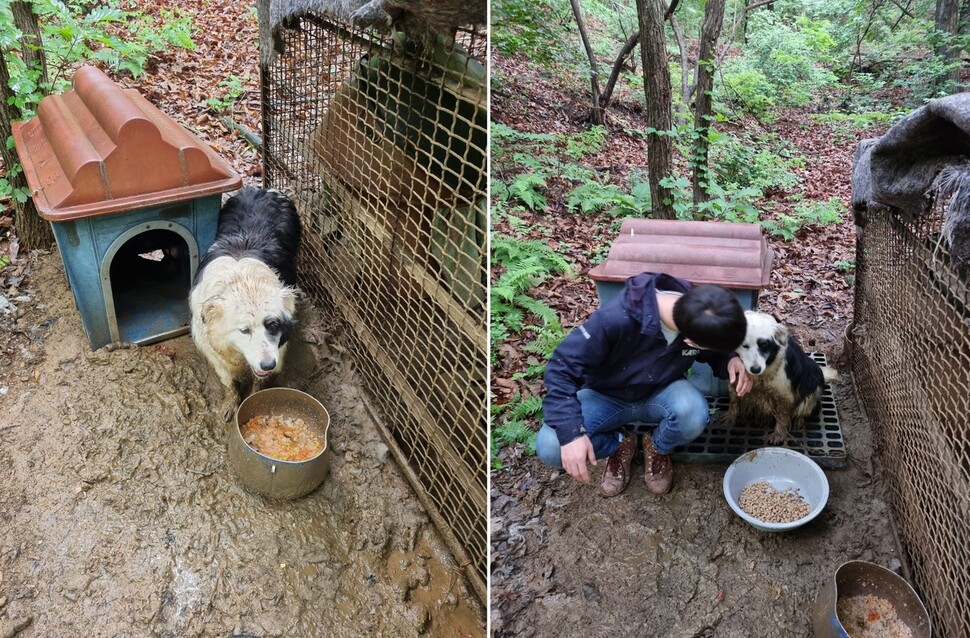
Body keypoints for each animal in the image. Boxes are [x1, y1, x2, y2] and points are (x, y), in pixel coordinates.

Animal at [187, 188, 296, 422]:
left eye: (273, 325)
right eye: (244, 330)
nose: (268, 365)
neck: (242, 281)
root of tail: (262, 190)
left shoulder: (278, 349)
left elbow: (260, 381)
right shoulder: (211, 347)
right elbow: (228, 381)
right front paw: (230, 404)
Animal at [716, 312, 836, 444]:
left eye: (764, 345)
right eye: (744, 346)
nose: (755, 369)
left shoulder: (785, 395)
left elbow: (782, 416)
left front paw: (779, 434)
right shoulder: (735, 383)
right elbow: (734, 403)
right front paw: (730, 417)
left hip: (813, 385)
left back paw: (799, 420)